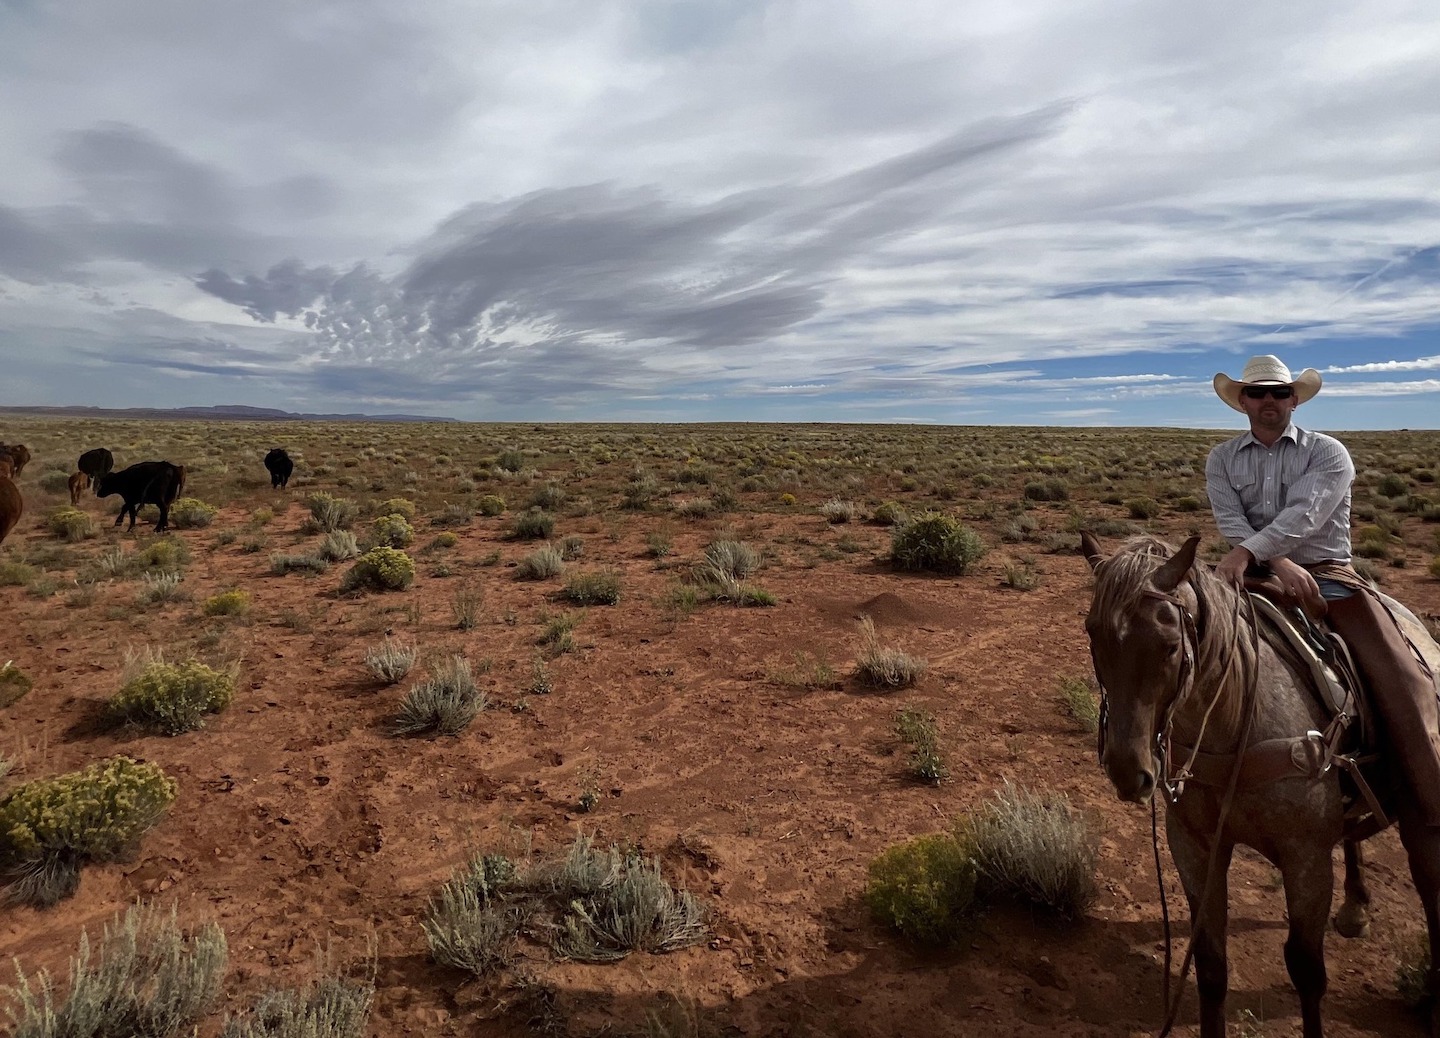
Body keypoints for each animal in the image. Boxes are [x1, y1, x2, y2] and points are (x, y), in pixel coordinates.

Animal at [1082, 529, 1440, 1030]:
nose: (1127, 771)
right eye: (1092, 634)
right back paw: (1355, 908)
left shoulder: (1305, 857)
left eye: (1170, 644)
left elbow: (1307, 970)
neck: (1235, 725)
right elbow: (1210, 965)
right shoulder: (1193, 845)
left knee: (1428, 879)